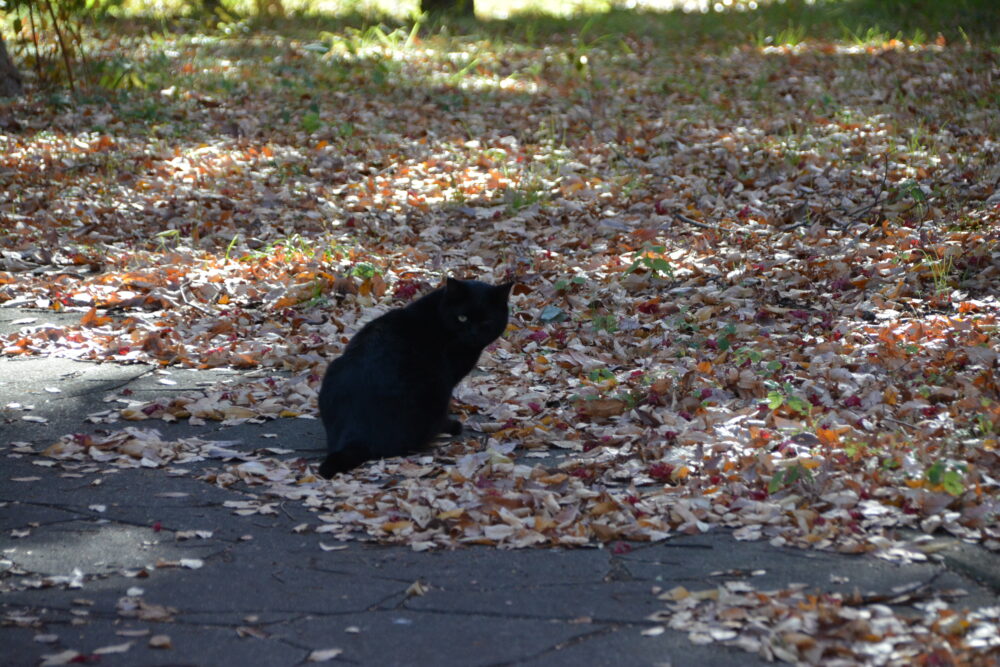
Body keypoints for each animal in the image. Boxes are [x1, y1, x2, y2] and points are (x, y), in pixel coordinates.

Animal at [316, 278, 512, 480]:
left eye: (486, 321)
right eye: (462, 318)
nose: (473, 333)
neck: (438, 317)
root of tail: (355, 434)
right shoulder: (449, 377)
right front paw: (451, 424)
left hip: (333, 369)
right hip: (436, 387)